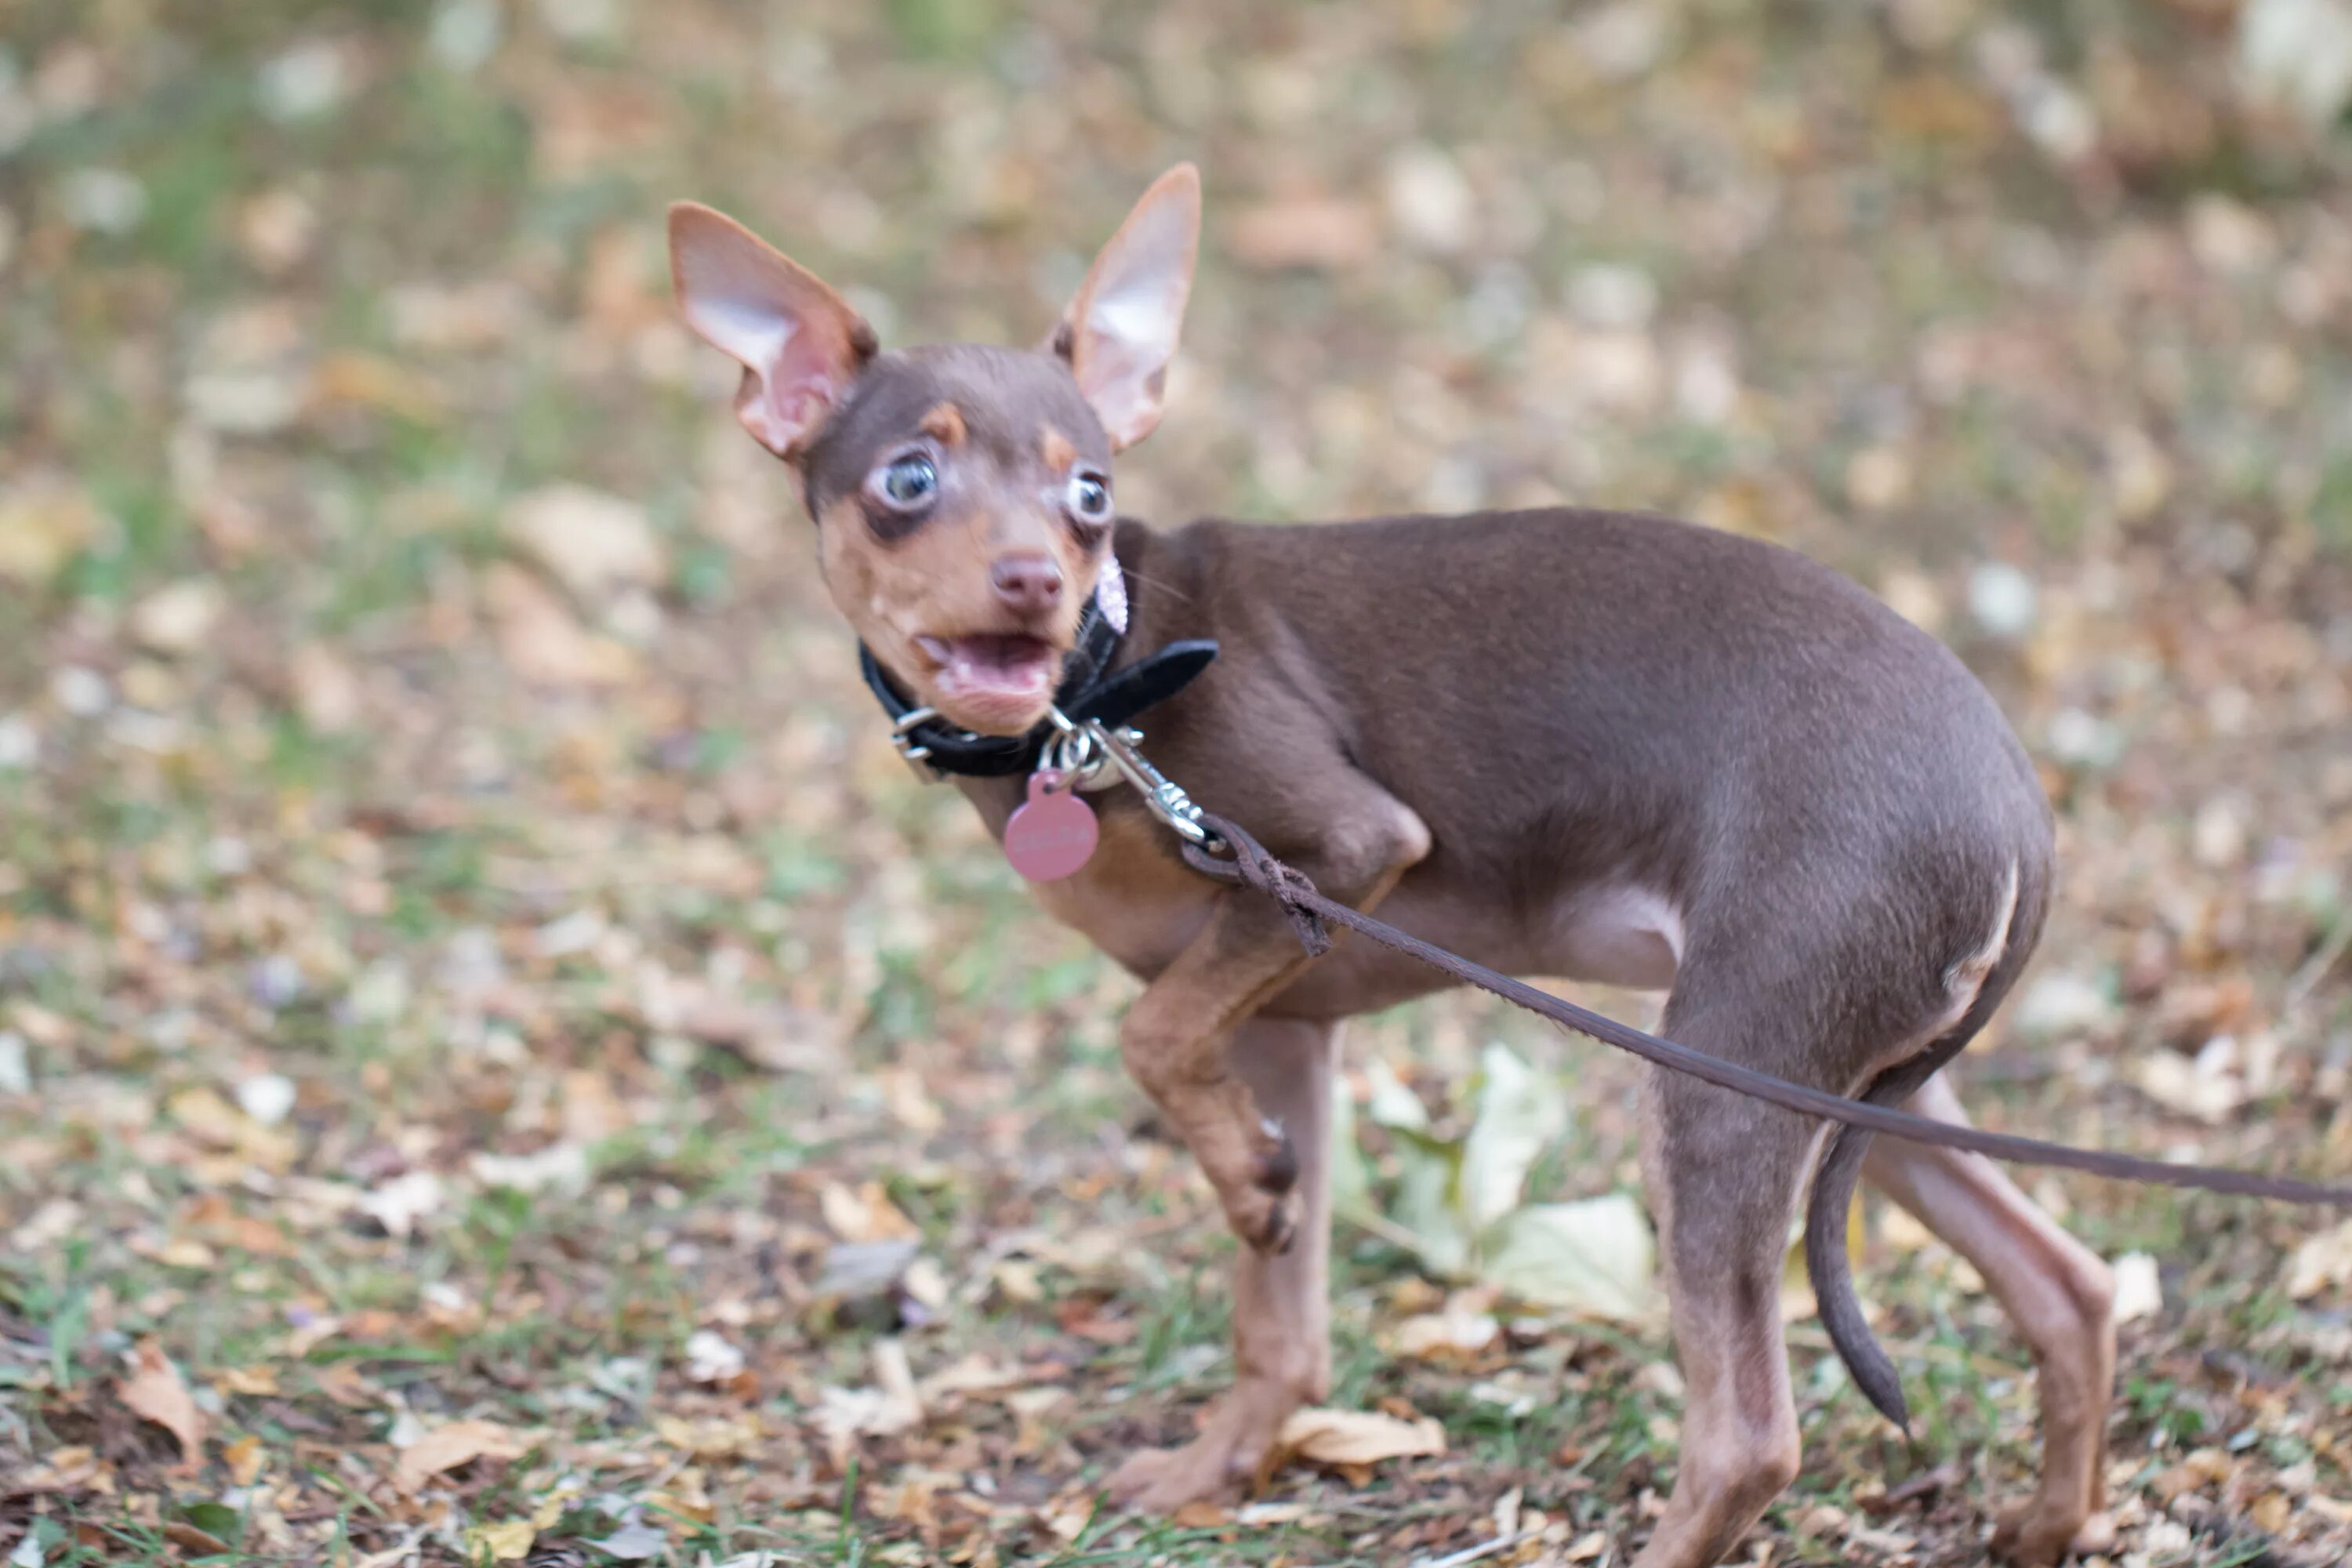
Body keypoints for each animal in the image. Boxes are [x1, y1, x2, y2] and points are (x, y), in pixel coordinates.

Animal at [673, 169, 2126, 1568]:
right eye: (908, 482)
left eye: (1089, 496)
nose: (1033, 577)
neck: (1096, 697)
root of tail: (2019, 809)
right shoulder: (1280, 1028)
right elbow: (1278, 1310)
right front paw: (1220, 1456)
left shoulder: (1335, 853)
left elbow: (1149, 1035)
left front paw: (1237, 1210)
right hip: (1853, 1085)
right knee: (2070, 1284)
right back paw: (2046, 1528)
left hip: (1731, 1076)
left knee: (1750, 1439)